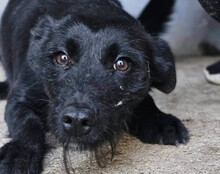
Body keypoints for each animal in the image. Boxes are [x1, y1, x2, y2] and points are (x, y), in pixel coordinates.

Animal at [0, 0, 188, 173]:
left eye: (121, 64)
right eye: (62, 58)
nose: (76, 121)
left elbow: (145, 99)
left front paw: (160, 121)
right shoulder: (19, 99)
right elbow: (27, 123)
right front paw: (20, 153)